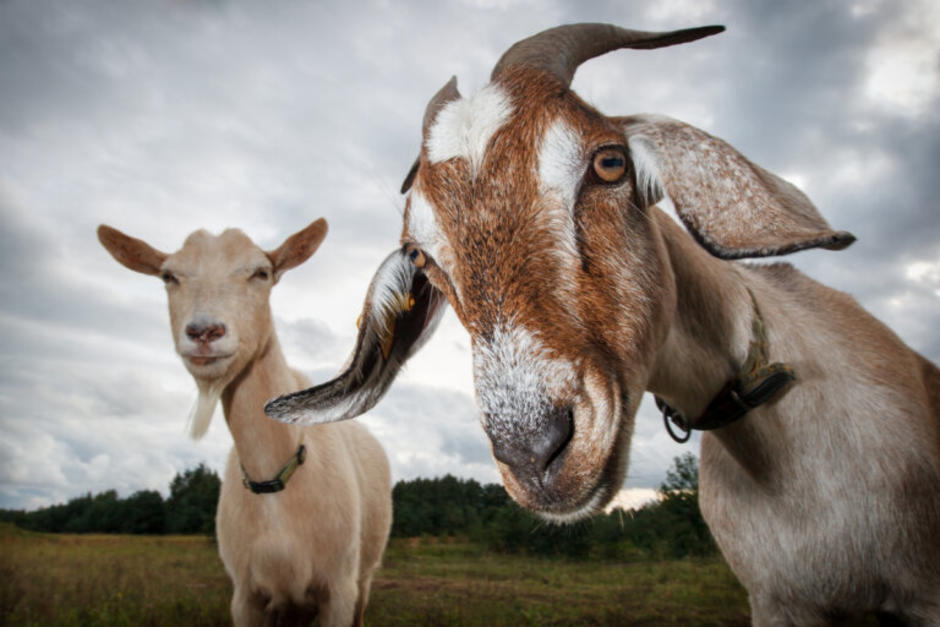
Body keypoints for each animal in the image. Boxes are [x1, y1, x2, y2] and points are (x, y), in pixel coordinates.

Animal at [97, 220, 392, 627]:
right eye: (169, 276)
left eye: (261, 273)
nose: (204, 332)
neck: (275, 479)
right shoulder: (245, 596)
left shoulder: (339, 590)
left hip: (365, 575)